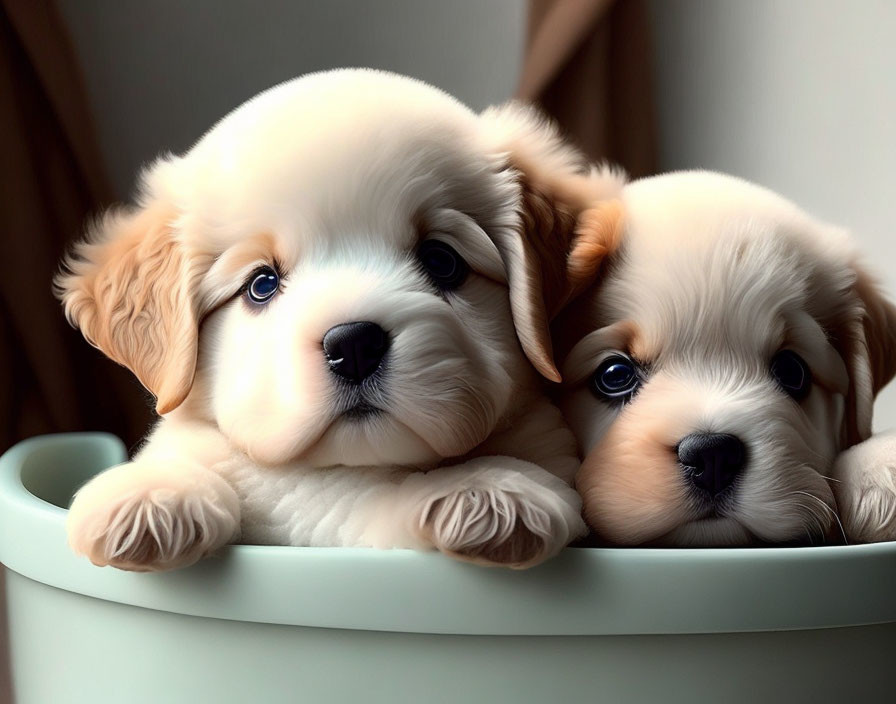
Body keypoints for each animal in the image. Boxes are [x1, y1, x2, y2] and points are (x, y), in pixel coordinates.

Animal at [59, 67, 620, 572]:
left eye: (442, 261)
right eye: (261, 284)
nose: (353, 345)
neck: (345, 469)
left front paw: (489, 487)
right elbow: (189, 459)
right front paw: (151, 497)